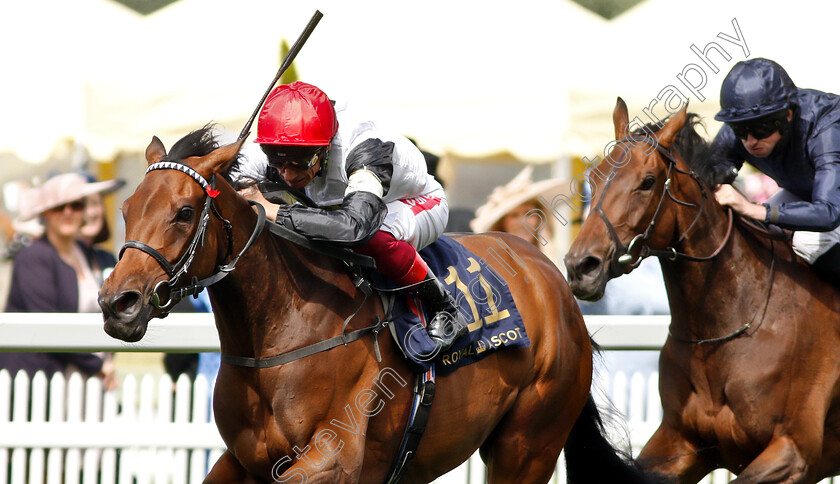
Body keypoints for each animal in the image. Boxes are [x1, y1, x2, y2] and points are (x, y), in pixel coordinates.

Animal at [100, 126, 664, 482]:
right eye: (127, 208)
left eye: (183, 211)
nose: (116, 302)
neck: (281, 330)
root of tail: (552, 280)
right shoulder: (245, 462)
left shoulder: (332, 459)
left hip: (527, 445)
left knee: (383, 233)